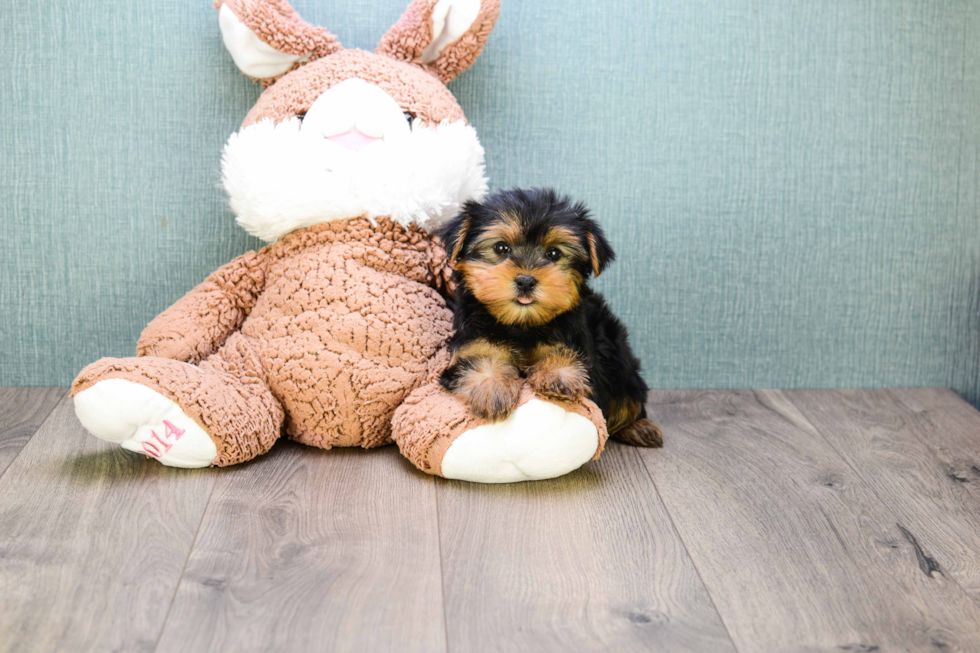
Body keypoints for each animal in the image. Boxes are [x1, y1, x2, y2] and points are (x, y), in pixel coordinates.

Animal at [438, 186, 664, 446]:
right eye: (501, 248)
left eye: (554, 253)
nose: (526, 281)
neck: (521, 324)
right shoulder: (470, 344)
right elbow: (476, 360)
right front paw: (492, 388)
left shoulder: (576, 346)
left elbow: (565, 356)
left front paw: (558, 374)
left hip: (620, 360)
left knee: (628, 398)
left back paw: (638, 426)